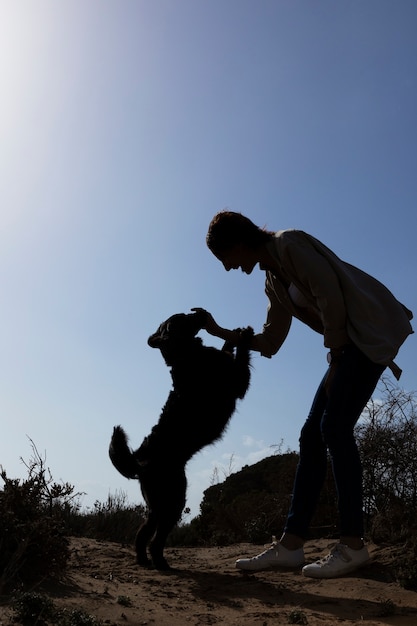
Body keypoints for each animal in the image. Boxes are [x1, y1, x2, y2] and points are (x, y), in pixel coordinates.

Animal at [109, 310, 252, 568]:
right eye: (183, 317)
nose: (200, 312)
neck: (185, 355)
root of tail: (140, 461)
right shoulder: (237, 381)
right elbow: (242, 357)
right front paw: (244, 336)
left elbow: (228, 349)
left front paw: (230, 339)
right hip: (173, 503)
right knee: (156, 539)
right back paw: (161, 563)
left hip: (156, 506)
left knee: (142, 534)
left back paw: (144, 560)